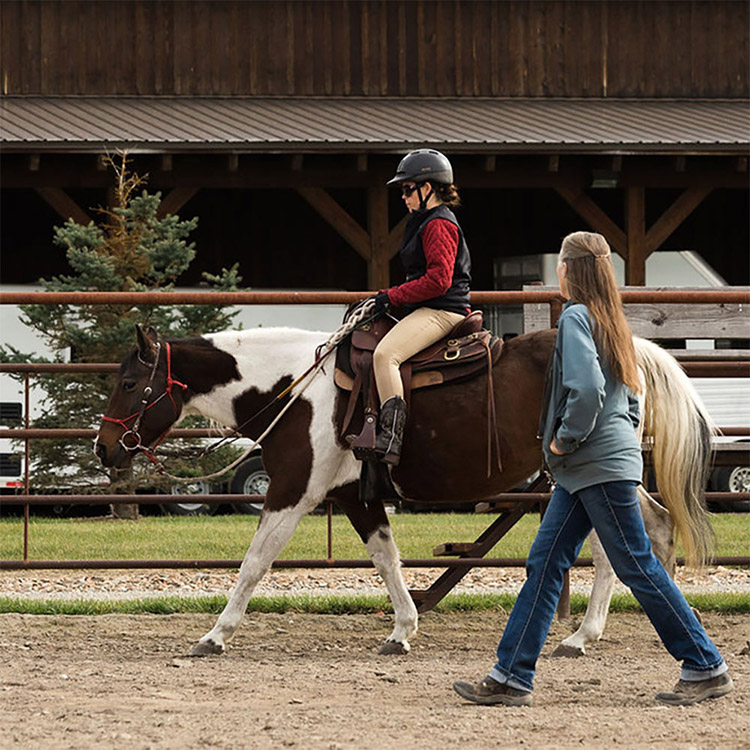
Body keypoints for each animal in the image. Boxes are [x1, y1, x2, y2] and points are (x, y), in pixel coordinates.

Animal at [95, 324, 716, 656]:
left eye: (129, 383)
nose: (104, 450)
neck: (295, 388)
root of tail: (626, 349)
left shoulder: (293, 491)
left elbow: (253, 563)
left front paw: (214, 635)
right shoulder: (356, 497)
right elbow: (387, 559)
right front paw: (402, 630)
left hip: (593, 473)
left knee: (627, 540)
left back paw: (585, 635)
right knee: (649, 531)